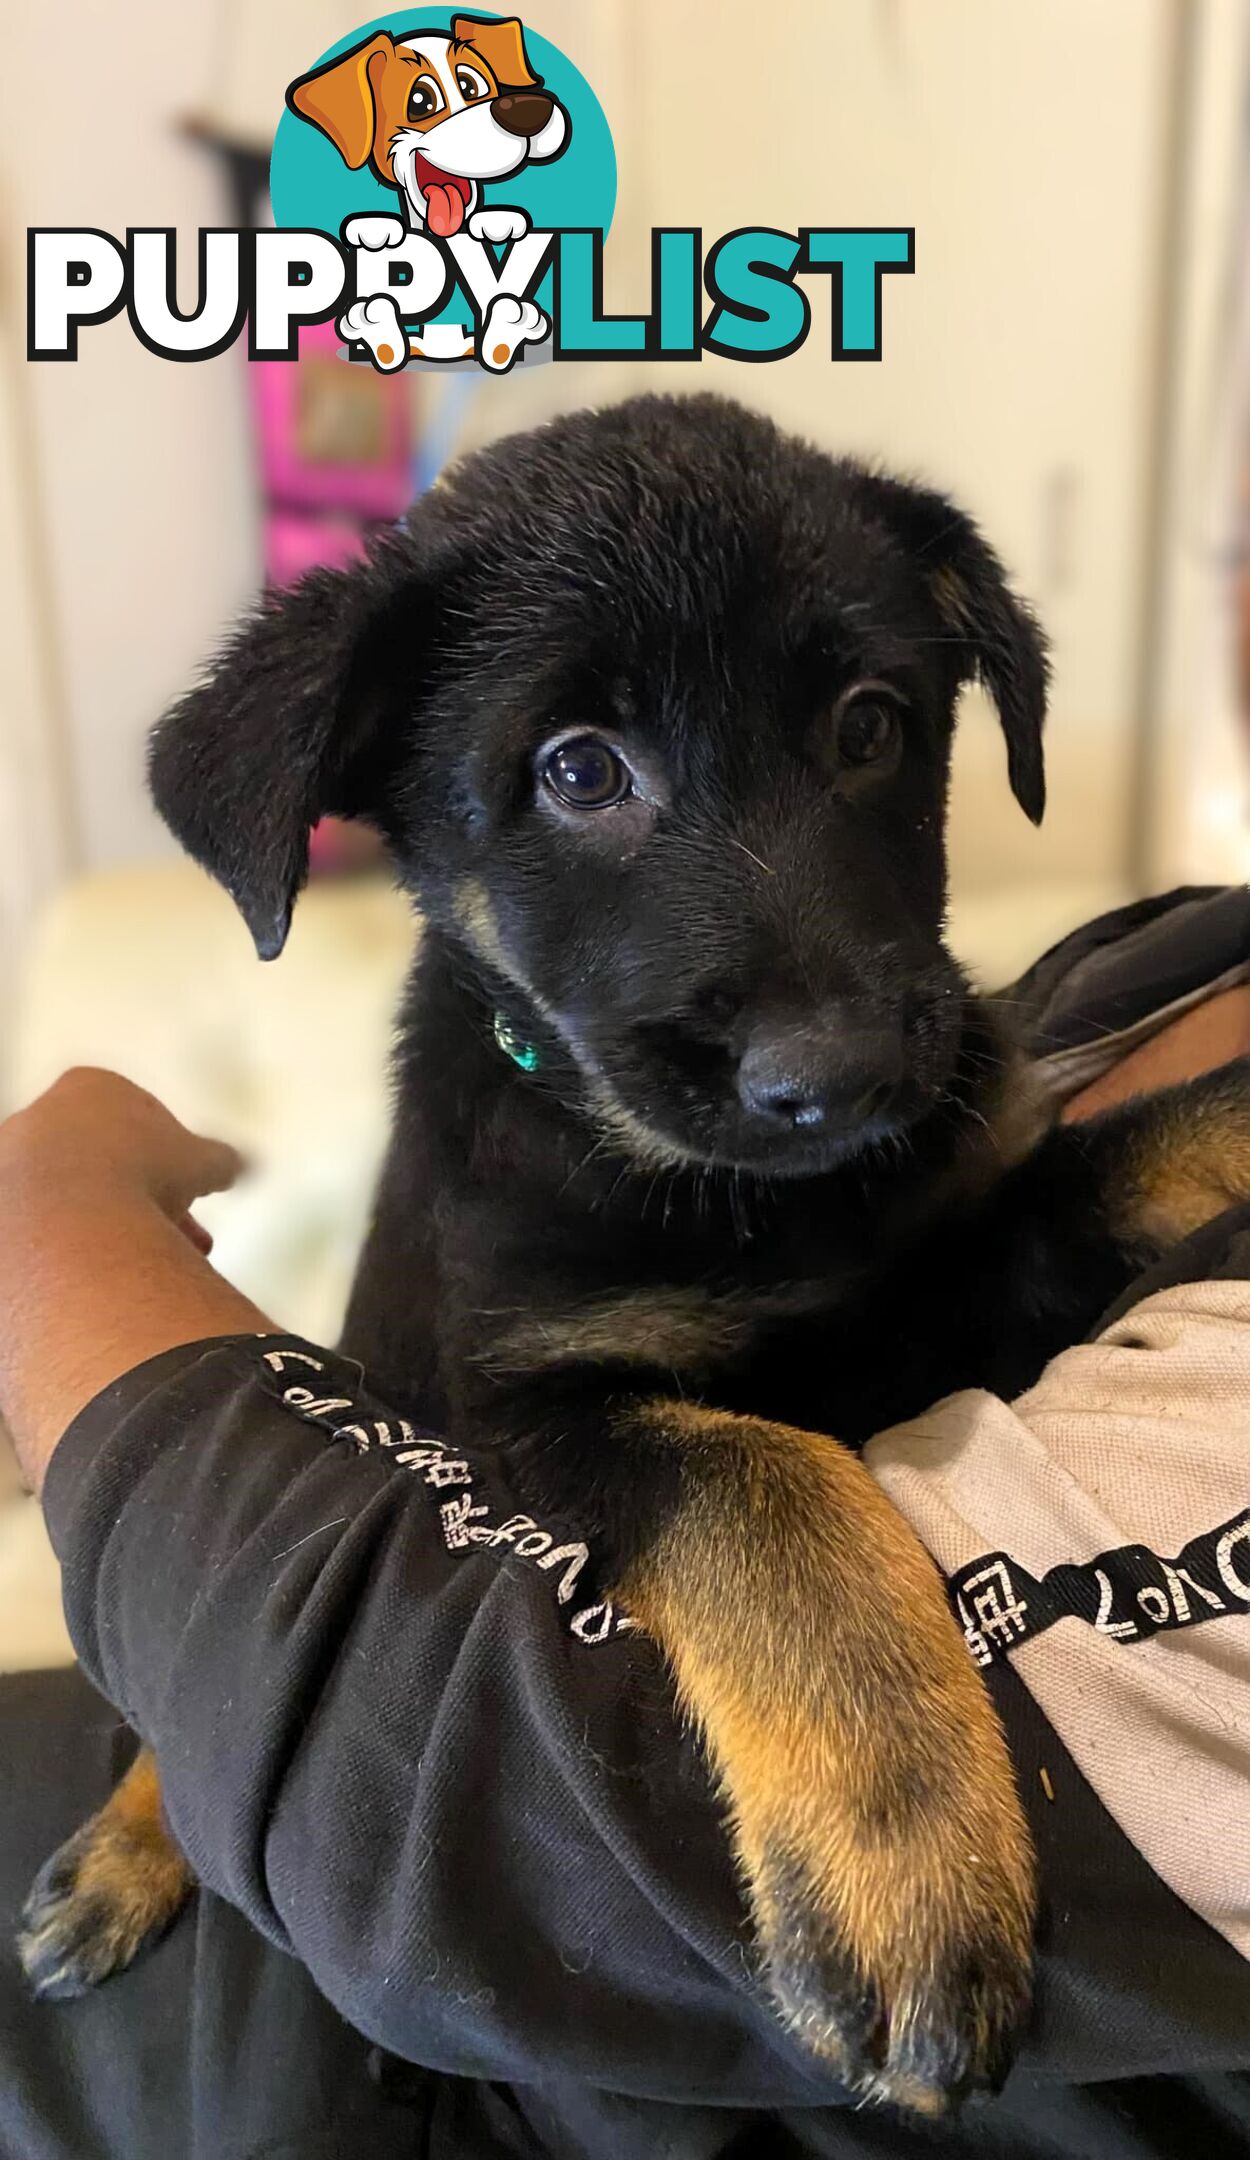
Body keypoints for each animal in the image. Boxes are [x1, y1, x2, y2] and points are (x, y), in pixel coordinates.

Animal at [24, 393, 1250, 2108]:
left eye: (870, 724)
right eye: (579, 771)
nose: (843, 1075)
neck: (752, 1206)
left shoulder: (971, 1258)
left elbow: (1144, 1138)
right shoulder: (537, 1409)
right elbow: (769, 1486)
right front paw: (903, 1862)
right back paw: (126, 1850)